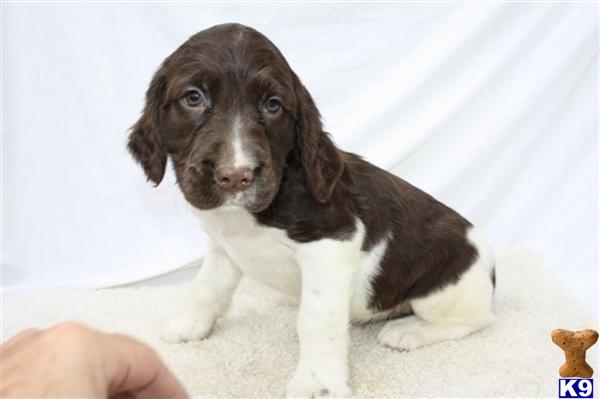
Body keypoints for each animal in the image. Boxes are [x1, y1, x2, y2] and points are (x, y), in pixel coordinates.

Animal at [127, 23, 496, 398]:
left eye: (273, 105)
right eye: (193, 98)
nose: (235, 176)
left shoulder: (332, 243)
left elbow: (316, 319)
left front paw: (318, 381)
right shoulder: (224, 247)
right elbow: (206, 287)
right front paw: (190, 326)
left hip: (442, 289)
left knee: (476, 319)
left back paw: (410, 331)